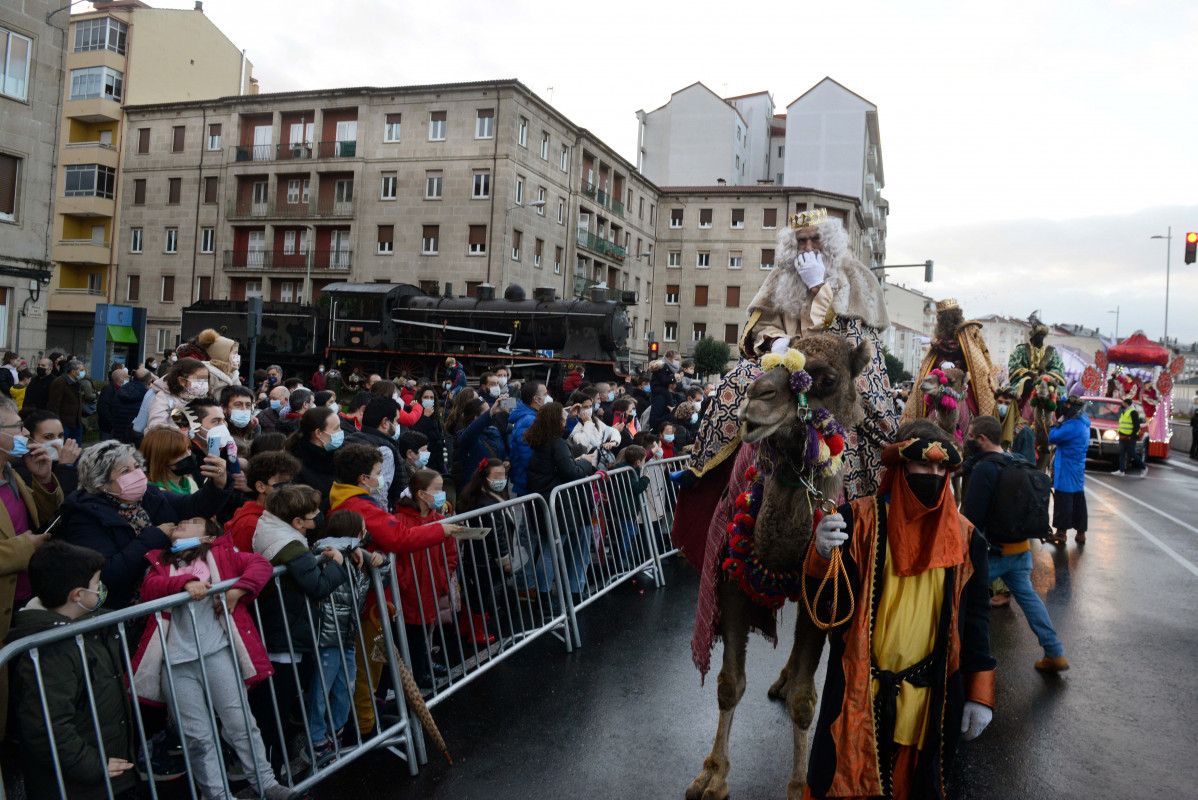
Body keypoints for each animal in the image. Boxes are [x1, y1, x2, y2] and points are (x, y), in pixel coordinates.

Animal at [690, 330, 876, 800]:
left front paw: (798, 785)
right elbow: (729, 683)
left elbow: (805, 702)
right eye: (767, 363)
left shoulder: (824, 592)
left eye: (826, 379)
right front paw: (712, 775)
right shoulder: (732, 580)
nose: (757, 399)